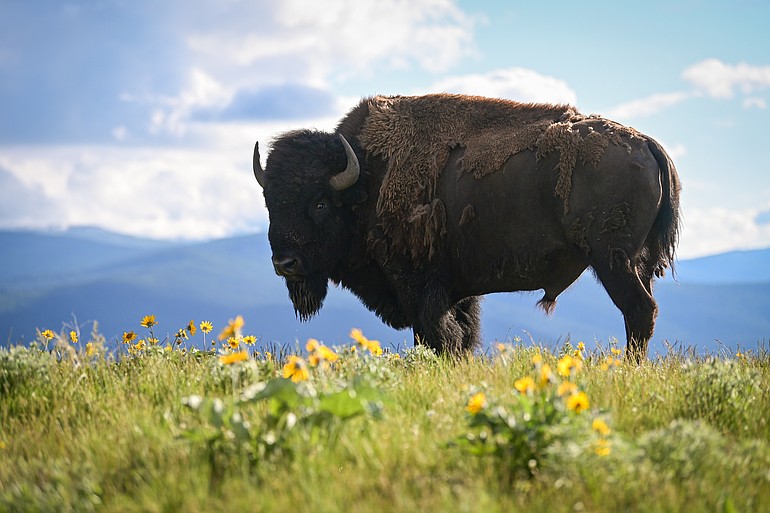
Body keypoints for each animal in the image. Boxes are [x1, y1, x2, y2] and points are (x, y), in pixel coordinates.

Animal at [253, 94, 681, 361]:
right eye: (269, 202)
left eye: (320, 203)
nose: (284, 263)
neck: (367, 179)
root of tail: (645, 142)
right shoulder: (457, 291)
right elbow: (462, 335)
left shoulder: (418, 285)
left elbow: (437, 336)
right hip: (638, 262)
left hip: (612, 260)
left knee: (639, 310)